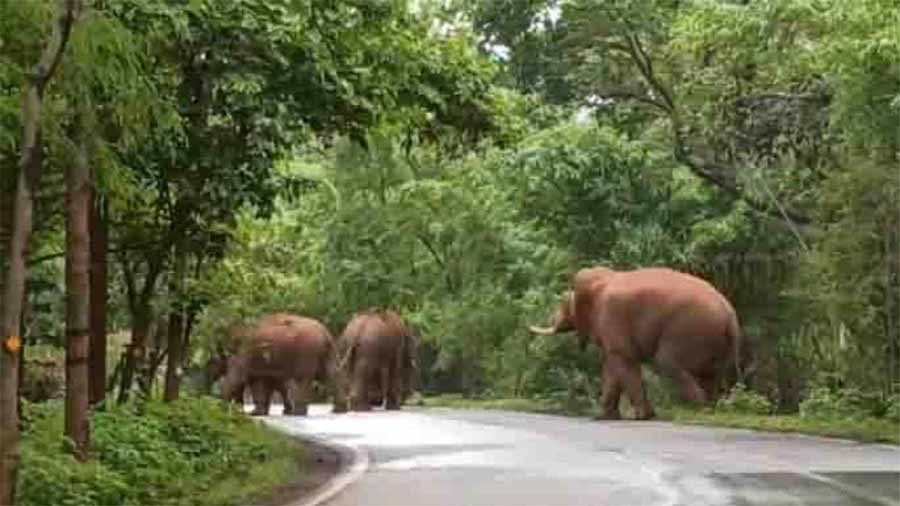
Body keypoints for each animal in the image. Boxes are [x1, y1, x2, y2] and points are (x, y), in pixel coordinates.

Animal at [532, 266, 740, 422]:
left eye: (565, 304)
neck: (604, 277)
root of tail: (729, 314)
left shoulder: (612, 316)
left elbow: (623, 361)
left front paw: (643, 417)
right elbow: (612, 367)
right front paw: (605, 417)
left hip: (688, 330)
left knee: (666, 362)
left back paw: (698, 410)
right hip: (714, 341)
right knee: (712, 375)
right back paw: (710, 409)